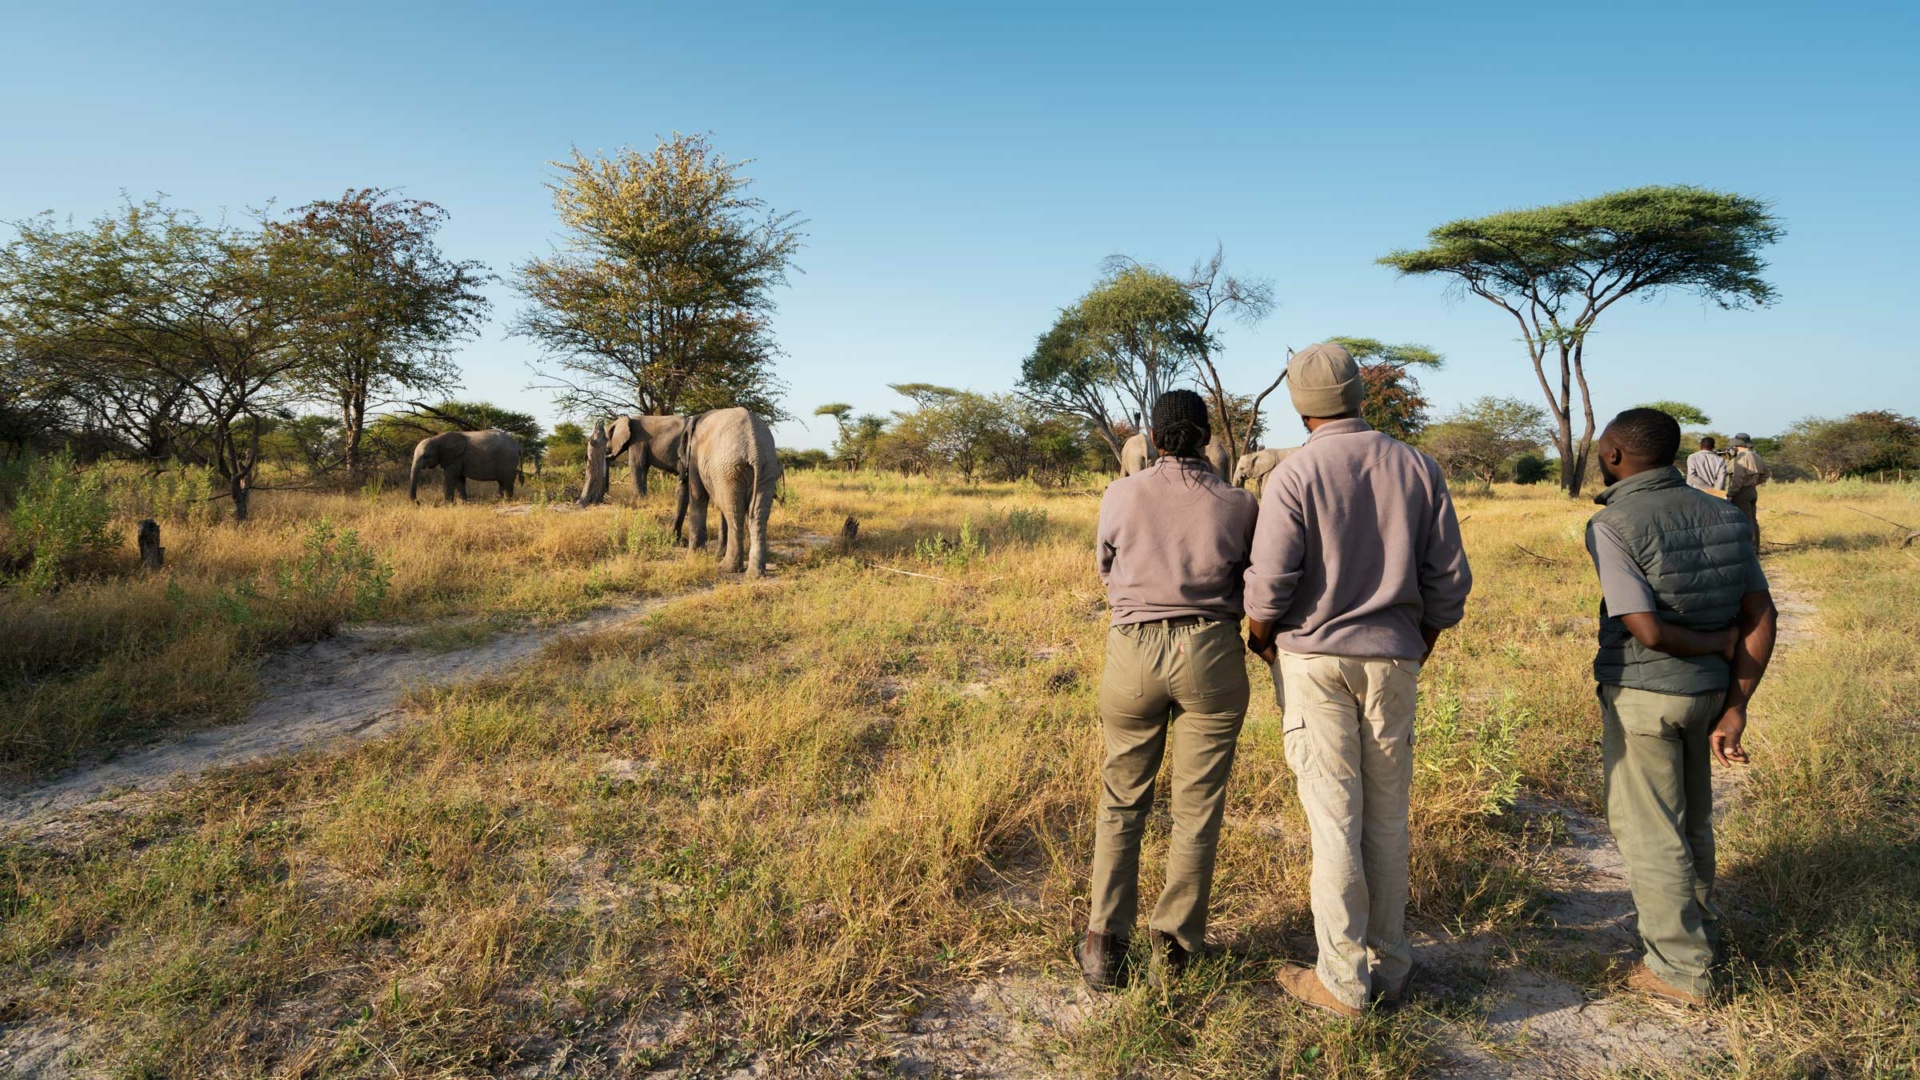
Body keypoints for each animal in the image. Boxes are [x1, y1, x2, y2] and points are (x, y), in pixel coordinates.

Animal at [672, 403, 783, 572]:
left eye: (680, 454)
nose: (680, 541)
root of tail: (755, 451)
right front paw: (715, 555)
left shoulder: (695, 457)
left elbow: (698, 495)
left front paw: (693, 558)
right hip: (766, 468)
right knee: (757, 514)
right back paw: (754, 573)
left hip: (728, 468)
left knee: (734, 512)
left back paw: (727, 567)